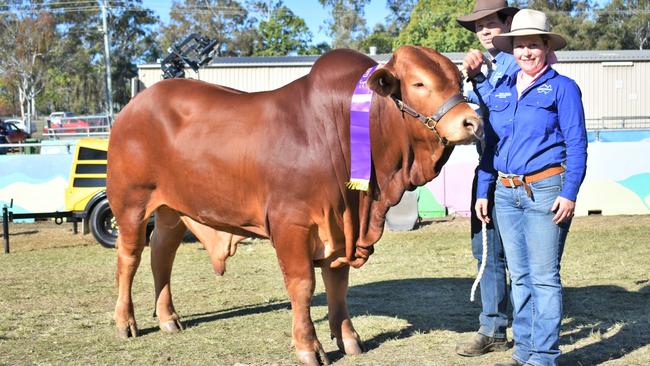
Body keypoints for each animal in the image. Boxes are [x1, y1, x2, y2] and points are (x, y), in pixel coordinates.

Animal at [107, 46, 480, 366]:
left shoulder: (339, 227)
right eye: (419, 83)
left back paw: (168, 318)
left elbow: (338, 285)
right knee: (129, 258)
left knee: (162, 252)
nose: (472, 123)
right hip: (130, 203)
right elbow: (302, 286)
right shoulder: (291, 224)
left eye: (459, 81)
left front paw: (349, 338)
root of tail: (135, 105)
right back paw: (125, 322)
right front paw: (308, 347)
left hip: (172, 209)